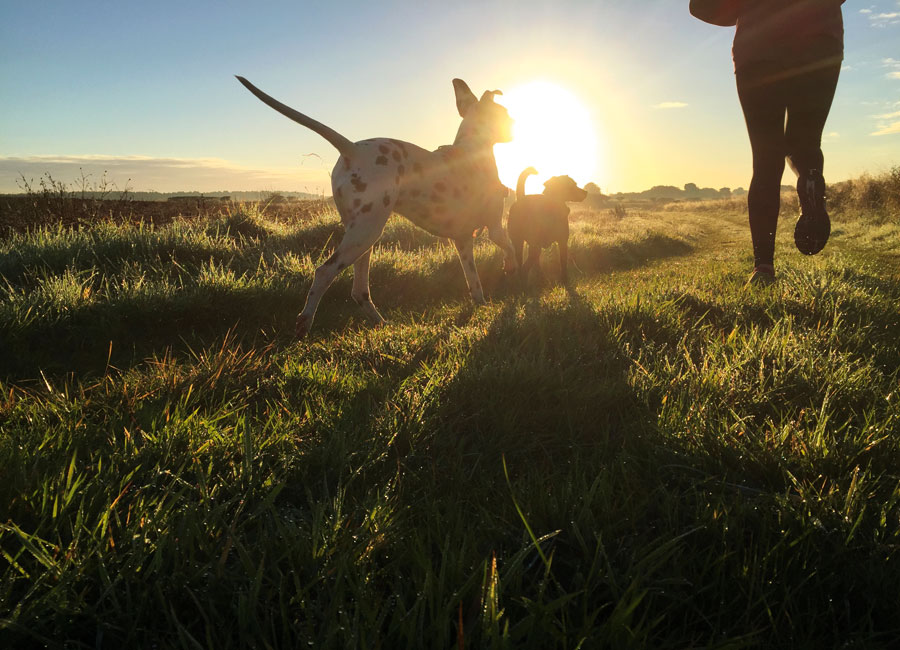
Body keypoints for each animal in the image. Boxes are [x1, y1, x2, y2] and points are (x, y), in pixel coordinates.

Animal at [236, 77, 516, 334]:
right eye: (504, 113)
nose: (514, 126)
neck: (473, 150)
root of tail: (352, 150)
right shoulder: (494, 229)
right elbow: (511, 248)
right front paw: (512, 270)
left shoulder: (463, 240)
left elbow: (474, 282)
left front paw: (481, 303)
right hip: (365, 233)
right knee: (324, 273)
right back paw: (305, 323)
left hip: (363, 236)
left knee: (359, 290)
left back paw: (380, 322)